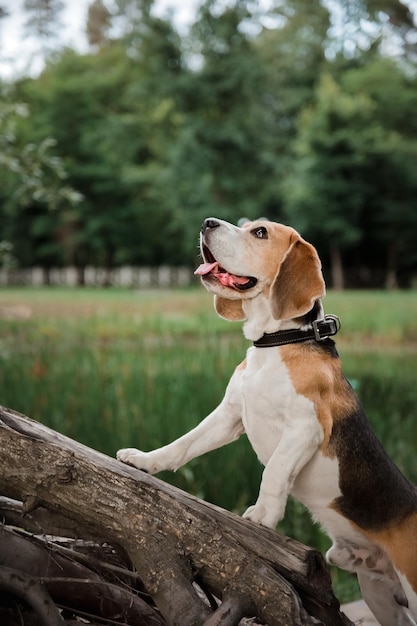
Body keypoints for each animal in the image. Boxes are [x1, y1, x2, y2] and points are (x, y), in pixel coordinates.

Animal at [116, 217, 416, 620]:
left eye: (260, 233)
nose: (207, 222)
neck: (277, 343)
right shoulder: (230, 415)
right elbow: (183, 444)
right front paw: (144, 461)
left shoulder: (305, 428)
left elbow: (273, 472)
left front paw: (262, 515)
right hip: (378, 593)